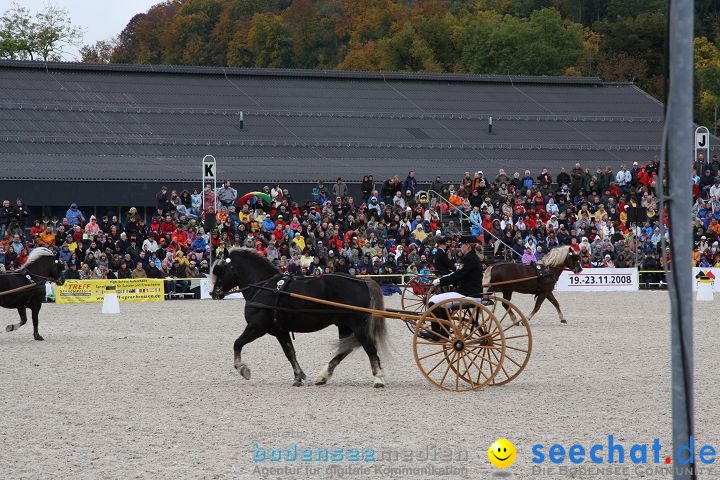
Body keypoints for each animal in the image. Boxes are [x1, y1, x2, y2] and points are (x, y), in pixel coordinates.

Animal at [210, 248, 388, 386]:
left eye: (219, 269)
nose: (214, 293)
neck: (264, 287)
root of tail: (363, 282)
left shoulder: (257, 327)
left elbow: (237, 343)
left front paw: (242, 369)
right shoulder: (280, 331)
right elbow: (290, 352)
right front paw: (298, 376)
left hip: (357, 325)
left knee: (369, 347)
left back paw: (378, 378)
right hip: (344, 325)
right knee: (345, 349)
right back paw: (323, 376)